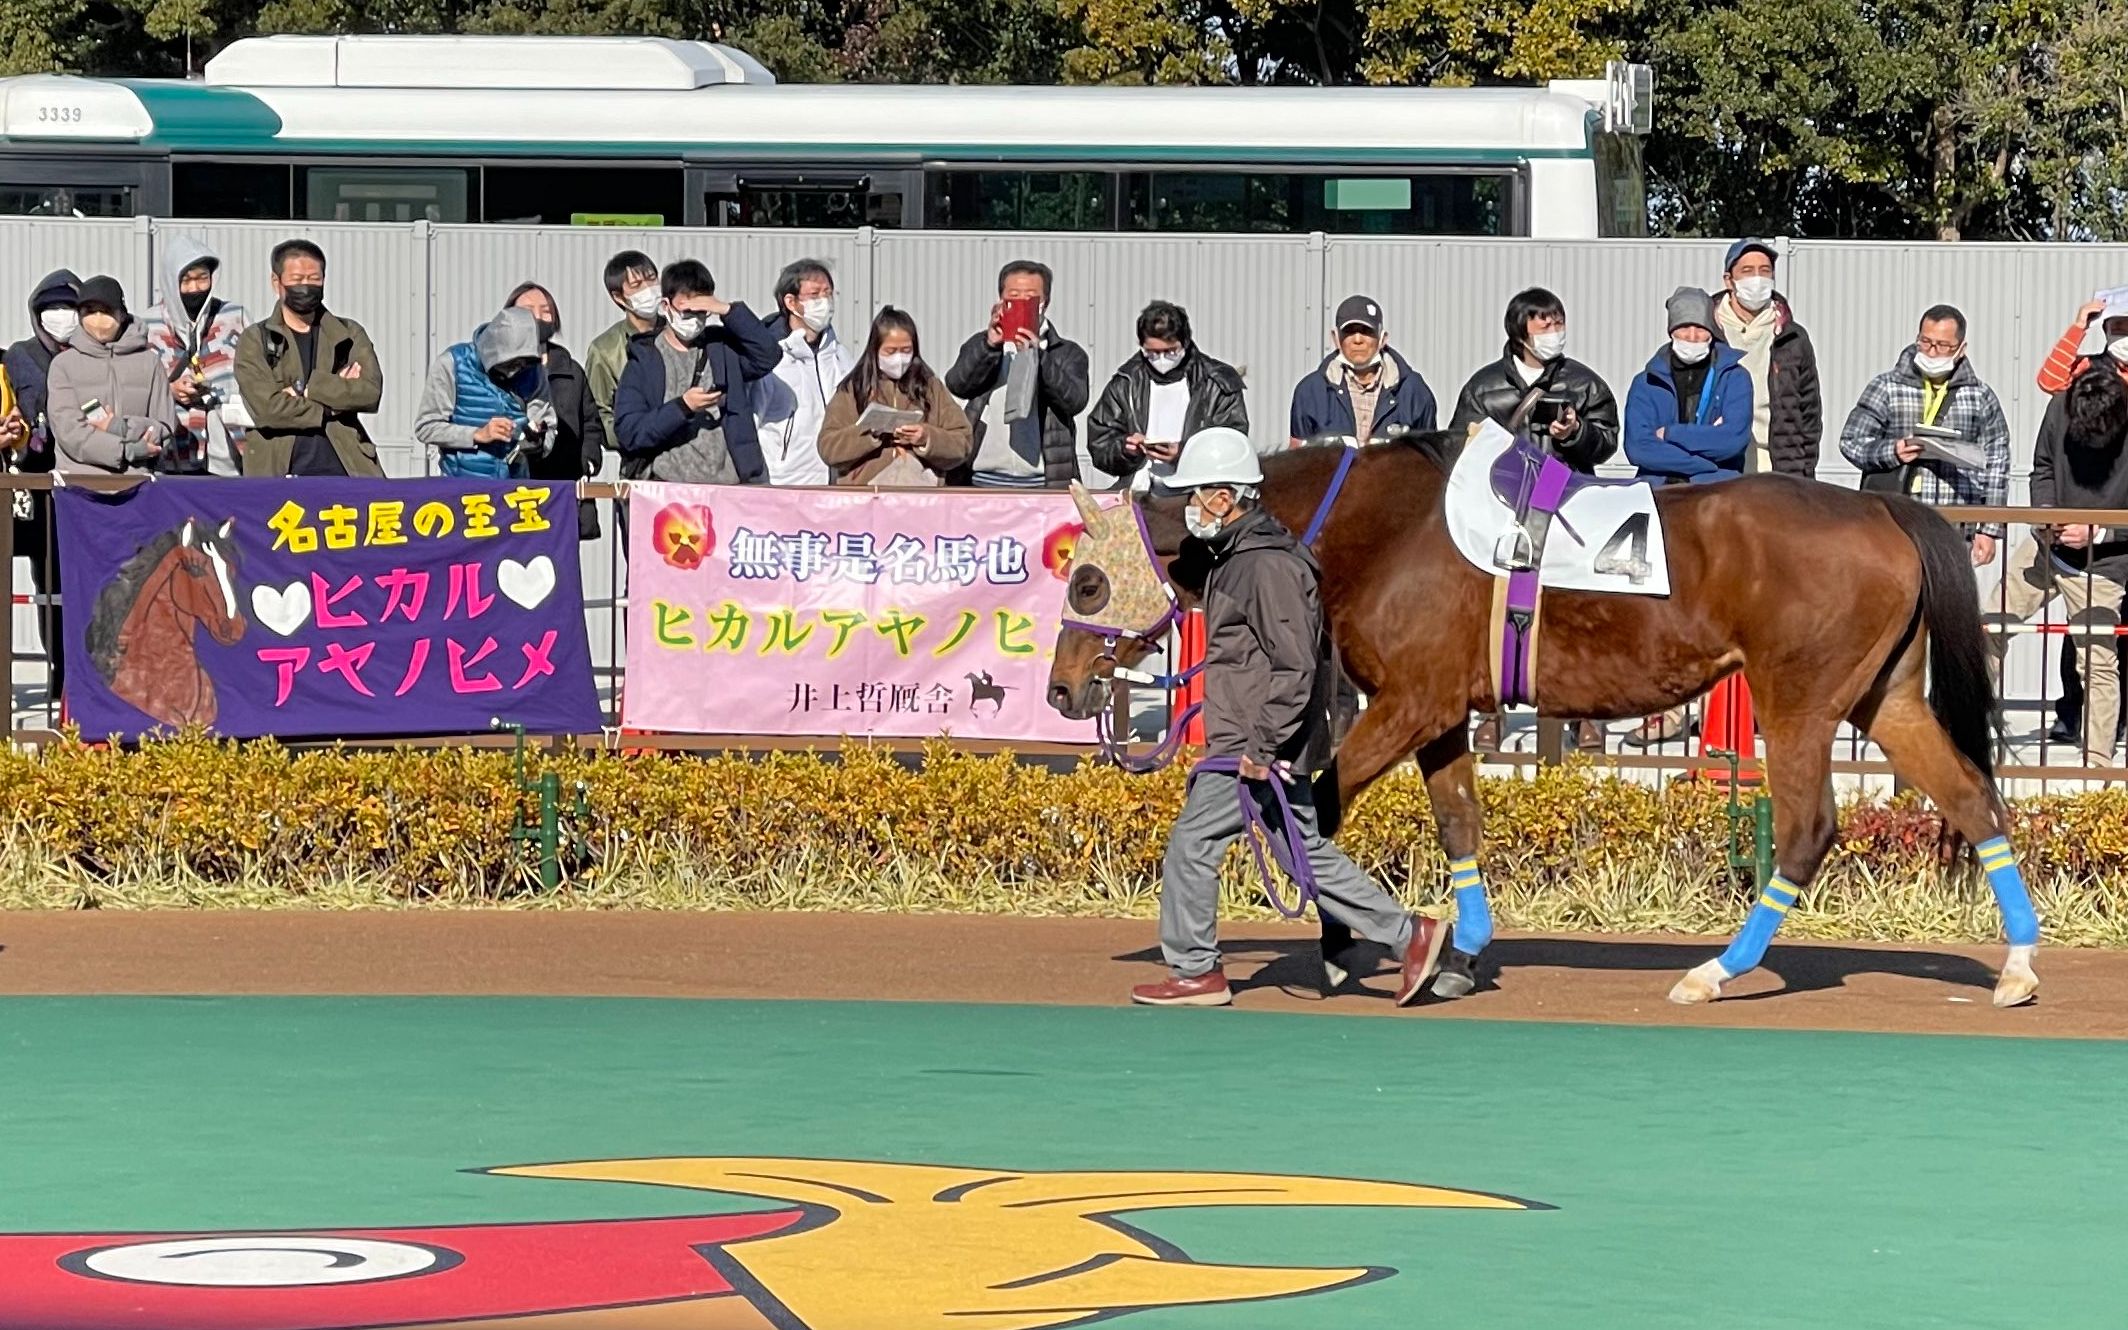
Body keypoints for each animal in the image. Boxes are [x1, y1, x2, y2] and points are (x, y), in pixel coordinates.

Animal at [1051, 436, 2042, 1004]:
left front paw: (1340, 944)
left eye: (1087, 580)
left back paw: (1715, 972)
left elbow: (1319, 805)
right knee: (1973, 799)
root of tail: (1884, 505)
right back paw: (2020, 967)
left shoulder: (1409, 703)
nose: (1060, 689)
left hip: (1796, 698)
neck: (1382, 525)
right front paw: (1453, 954)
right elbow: (1459, 822)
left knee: (1806, 829)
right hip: (1886, 697)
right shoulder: (1443, 713)